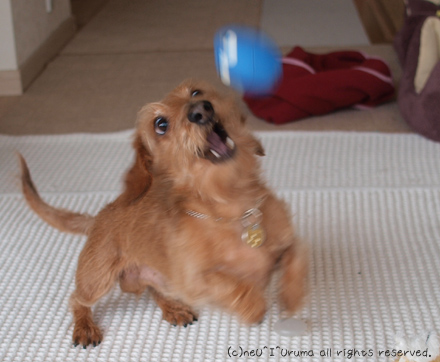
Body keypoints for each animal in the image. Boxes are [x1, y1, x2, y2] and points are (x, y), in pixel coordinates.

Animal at [20, 80, 308, 348]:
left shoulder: (286, 242)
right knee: (77, 299)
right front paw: (253, 305)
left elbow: (295, 257)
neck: (236, 209)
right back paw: (85, 326)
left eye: (196, 92)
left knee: (153, 290)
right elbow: (226, 282)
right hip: (97, 279)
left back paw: (173, 307)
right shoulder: (192, 281)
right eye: (160, 124)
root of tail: (99, 217)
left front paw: (292, 294)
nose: (201, 110)